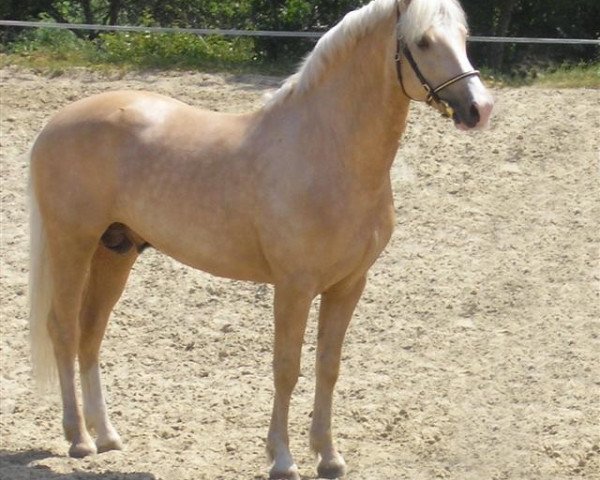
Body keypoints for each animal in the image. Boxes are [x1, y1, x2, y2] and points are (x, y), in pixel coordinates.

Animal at [27, 0, 492, 480]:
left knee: (90, 333)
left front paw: (328, 456)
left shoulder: (348, 286)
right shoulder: (294, 287)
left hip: (115, 251)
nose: (479, 108)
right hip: (72, 243)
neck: (324, 152)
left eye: (463, 37)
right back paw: (79, 439)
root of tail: (54, 123)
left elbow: (328, 368)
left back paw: (106, 436)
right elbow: (286, 368)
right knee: (63, 329)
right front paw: (283, 459)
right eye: (423, 41)